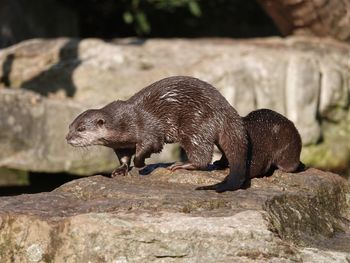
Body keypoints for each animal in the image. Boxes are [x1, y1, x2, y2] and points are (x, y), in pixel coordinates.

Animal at [66, 75, 249, 193]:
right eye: (70, 126)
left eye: (81, 128)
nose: (67, 138)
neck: (124, 123)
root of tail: (224, 107)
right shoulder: (121, 145)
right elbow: (124, 157)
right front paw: (120, 170)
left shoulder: (148, 129)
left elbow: (148, 147)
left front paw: (141, 164)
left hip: (195, 125)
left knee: (202, 156)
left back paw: (181, 165)